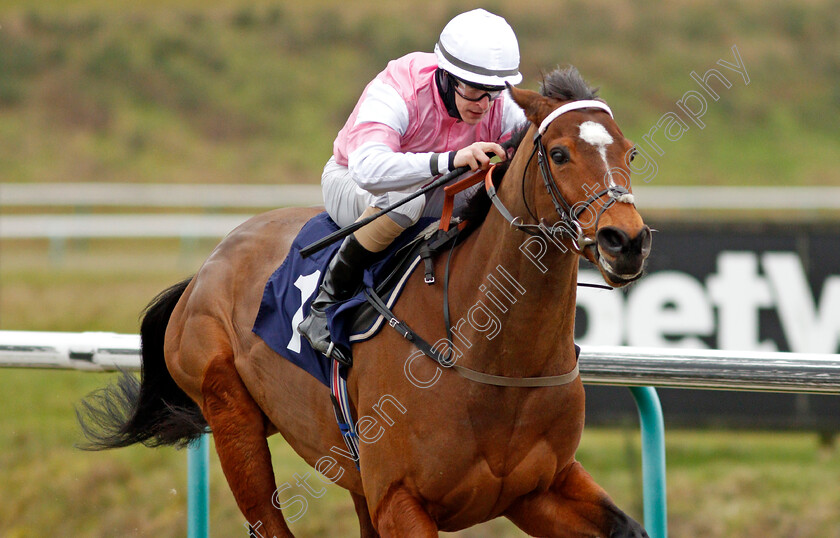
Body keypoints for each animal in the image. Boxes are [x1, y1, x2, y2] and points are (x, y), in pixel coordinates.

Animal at [79, 68, 652, 536]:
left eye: (628, 152)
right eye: (559, 153)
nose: (625, 241)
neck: (495, 359)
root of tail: (207, 267)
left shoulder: (537, 489)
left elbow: (626, 528)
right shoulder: (400, 500)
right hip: (229, 413)